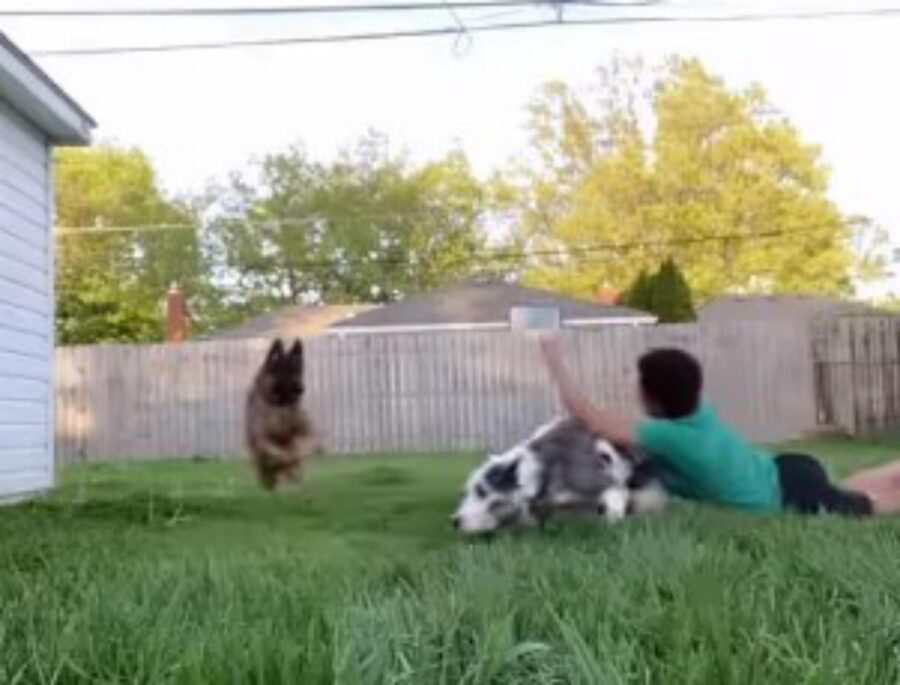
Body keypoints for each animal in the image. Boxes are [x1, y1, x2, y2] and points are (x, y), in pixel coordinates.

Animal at [246, 336, 320, 486]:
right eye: (284, 371)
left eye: (297, 370)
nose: (301, 389)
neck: (280, 406)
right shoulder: (262, 439)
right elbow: (280, 454)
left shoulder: (307, 431)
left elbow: (302, 447)